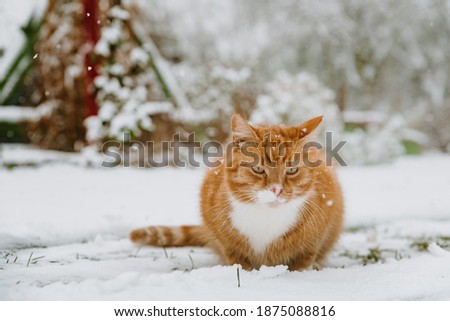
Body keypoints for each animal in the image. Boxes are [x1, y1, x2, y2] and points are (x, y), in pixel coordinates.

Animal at [131, 114, 344, 268]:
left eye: (291, 170)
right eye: (258, 169)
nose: (276, 189)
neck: (266, 219)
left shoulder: (314, 239)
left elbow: (302, 261)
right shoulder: (225, 240)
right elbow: (238, 260)